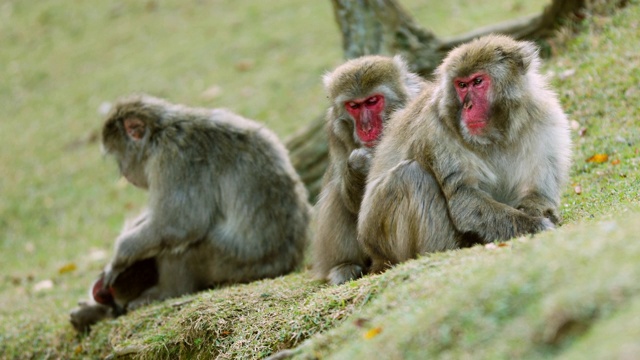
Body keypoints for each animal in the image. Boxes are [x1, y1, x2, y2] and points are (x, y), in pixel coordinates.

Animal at [70, 94, 310, 330]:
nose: (123, 172)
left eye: (118, 156)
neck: (160, 131)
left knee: (183, 246)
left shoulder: (173, 157)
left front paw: (119, 256)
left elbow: (179, 224)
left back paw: (166, 291)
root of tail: (290, 259)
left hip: (237, 260)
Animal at [312, 55, 428, 284]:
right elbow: (352, 204)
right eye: (354, 106)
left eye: (372, 101)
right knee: (336, 191)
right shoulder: (334, 127)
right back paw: (344, 266)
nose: (365, 128)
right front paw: (359, 164)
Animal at [358, 35, 572, 272]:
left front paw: (540, 214)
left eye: (477, 82)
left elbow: (538, 191)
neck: (497, 132)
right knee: (410, 175)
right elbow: (464, 198)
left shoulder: (546, 117)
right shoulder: (436, 129)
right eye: (461, 85)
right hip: (380, 235)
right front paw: (536, 225)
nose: (467, 106)